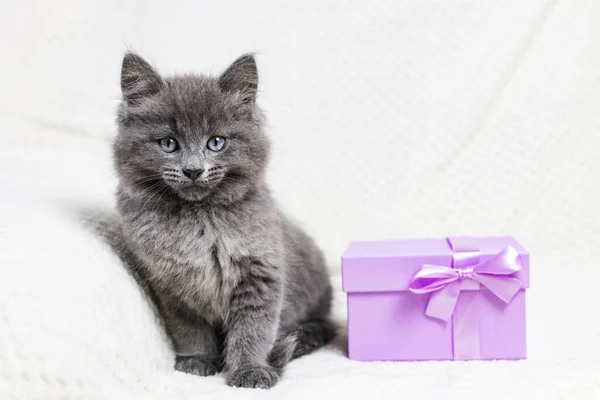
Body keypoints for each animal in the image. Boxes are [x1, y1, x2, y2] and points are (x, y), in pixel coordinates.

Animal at [112, 53, 336, 388]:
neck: (198, 217)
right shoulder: (172, 286)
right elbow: (189, 328)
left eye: (216, 142)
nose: (193, 170)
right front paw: (198, 361)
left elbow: (252, 330)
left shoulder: (260, 273)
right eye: (168, 143)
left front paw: (249, 371)